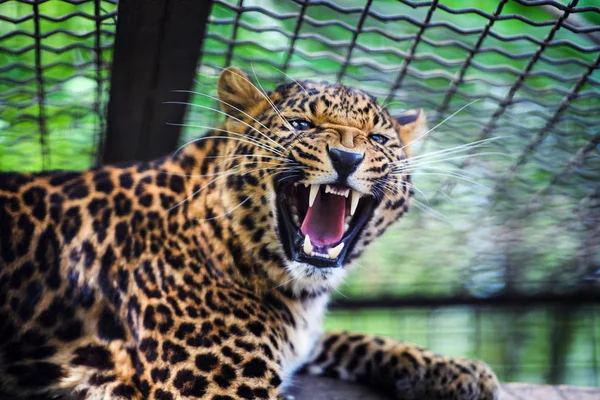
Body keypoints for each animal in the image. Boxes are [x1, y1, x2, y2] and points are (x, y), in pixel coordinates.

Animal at [0, 67, 500, 398]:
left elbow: (356, 337)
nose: (346, 157)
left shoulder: (303, 334)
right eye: (301, 125)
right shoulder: (223, 390)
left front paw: (459, 370)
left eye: (377, 139)